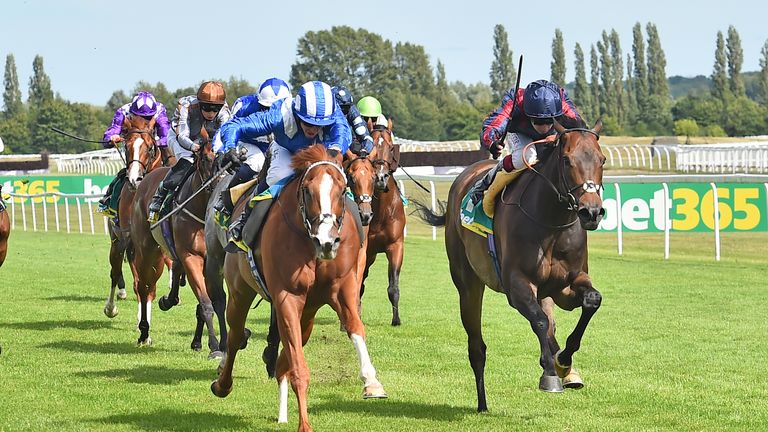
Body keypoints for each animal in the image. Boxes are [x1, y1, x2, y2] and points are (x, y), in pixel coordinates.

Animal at [103, 116, 167, 318]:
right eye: (127, 146)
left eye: (150, 147)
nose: (133, 180)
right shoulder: (128, 236)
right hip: (117, 238)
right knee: (115, 269)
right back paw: (112, 306)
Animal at [212, 144, 388, 432]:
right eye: (307, 189)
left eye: (343, 189)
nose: (326, 241)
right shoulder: (287, 297)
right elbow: (298, 366)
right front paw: (304, 424)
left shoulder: (342, 289)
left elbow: (355, 327)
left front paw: (372, 383)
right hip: (240, 291)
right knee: (237, 335)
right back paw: (222, 384)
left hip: (308, 313)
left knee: (283, 356)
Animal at [414, 120, 608, 412]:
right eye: (566, 160)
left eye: (602, 160)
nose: (592, 212)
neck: (551, 223)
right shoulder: (517, 285)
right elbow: (539, 321)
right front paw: (549, 373)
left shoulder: (566, 285)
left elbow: (591, 301)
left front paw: (564, 361)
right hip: (468, 283)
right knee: (477, 346)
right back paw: (482, 403)